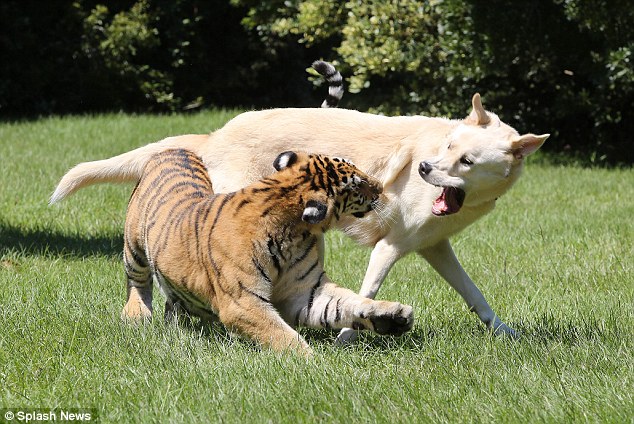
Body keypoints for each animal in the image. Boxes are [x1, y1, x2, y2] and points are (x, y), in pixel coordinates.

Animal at [50, 92, 544, 342]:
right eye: (448, 148)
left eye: (466, 160)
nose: (423, 169)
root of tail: (214, 135)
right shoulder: (389, 248)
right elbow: (366, 292)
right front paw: (351, 337)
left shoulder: (433, 246)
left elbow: (475, 294)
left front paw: (507, 335)